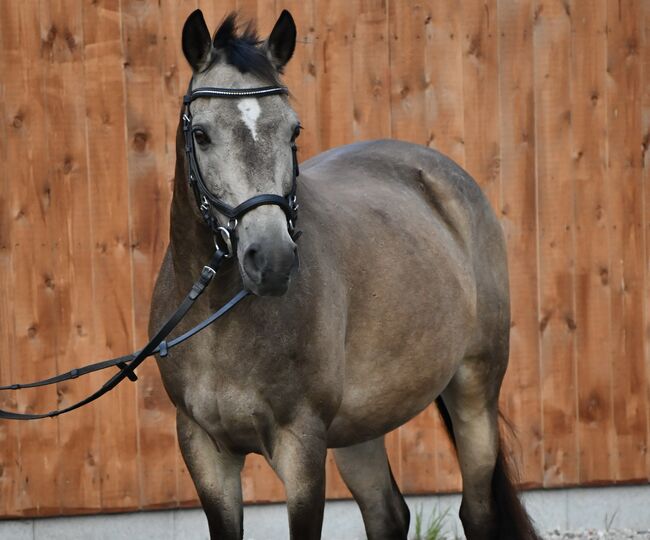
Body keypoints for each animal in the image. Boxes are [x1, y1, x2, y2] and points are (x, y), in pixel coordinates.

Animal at [149, 9, 539, 540]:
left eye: (293, 131)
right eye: (202, 134)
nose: (272, 259)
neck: (219, 322)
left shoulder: (302, 446)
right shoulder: (204, 449)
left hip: (475, 391)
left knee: (477, 512)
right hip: (358, 427)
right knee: (387, 514)